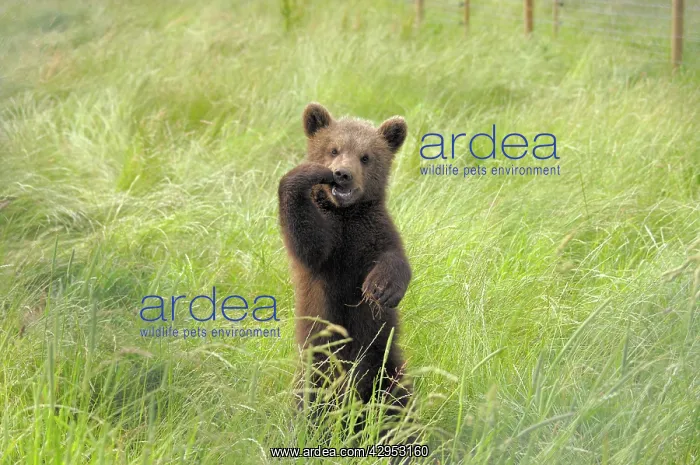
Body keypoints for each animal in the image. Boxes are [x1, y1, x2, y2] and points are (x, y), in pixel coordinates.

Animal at [278, 103, 413, 431]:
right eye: (333, 149)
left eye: (366, 156)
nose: (343, 175)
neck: (346, 214)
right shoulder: (329, 246)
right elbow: (309, 242)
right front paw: (304, 175)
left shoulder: (372, 230)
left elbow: (394, 257)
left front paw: (381, 289)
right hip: (317, 367)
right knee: (312, 401)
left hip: (386, 364)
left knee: (398, 402)